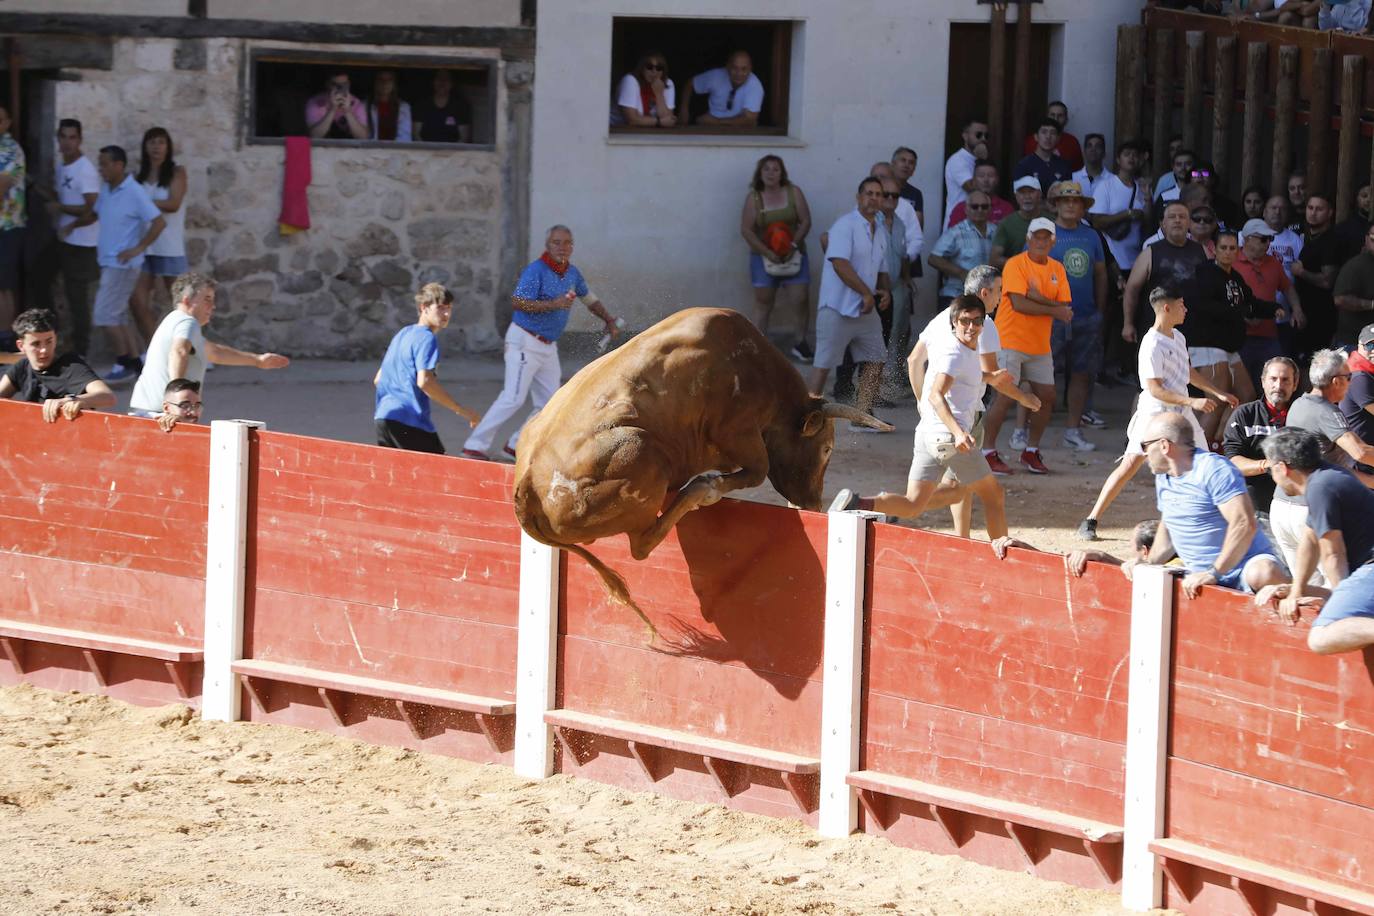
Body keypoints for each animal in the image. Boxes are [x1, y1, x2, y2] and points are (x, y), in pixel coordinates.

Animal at [511, 307, 884, 631]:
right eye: (826, 448)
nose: (812, 505)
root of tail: (526, 486)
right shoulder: (740, 432)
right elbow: (755, 472)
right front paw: (708, 487)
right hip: (640, 450)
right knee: (640, 545)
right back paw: (694, 494)